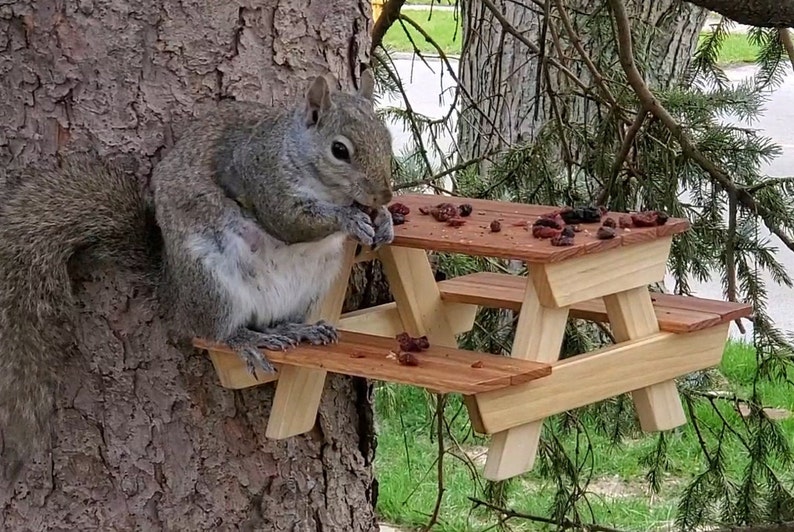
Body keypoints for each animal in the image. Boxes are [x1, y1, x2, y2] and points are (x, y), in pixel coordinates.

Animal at [0, 69, 394, 477]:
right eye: (339, 150)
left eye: (387, 138)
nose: (384, 195)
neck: (295, 154)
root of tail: (173, 291)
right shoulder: (262, 180)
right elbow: (290, 223)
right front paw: (349, 218)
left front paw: (385, 222)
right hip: (213, 285)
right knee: (213, 332)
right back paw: (245, 339)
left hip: (313, 285)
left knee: (272, 320)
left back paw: (297, 329)